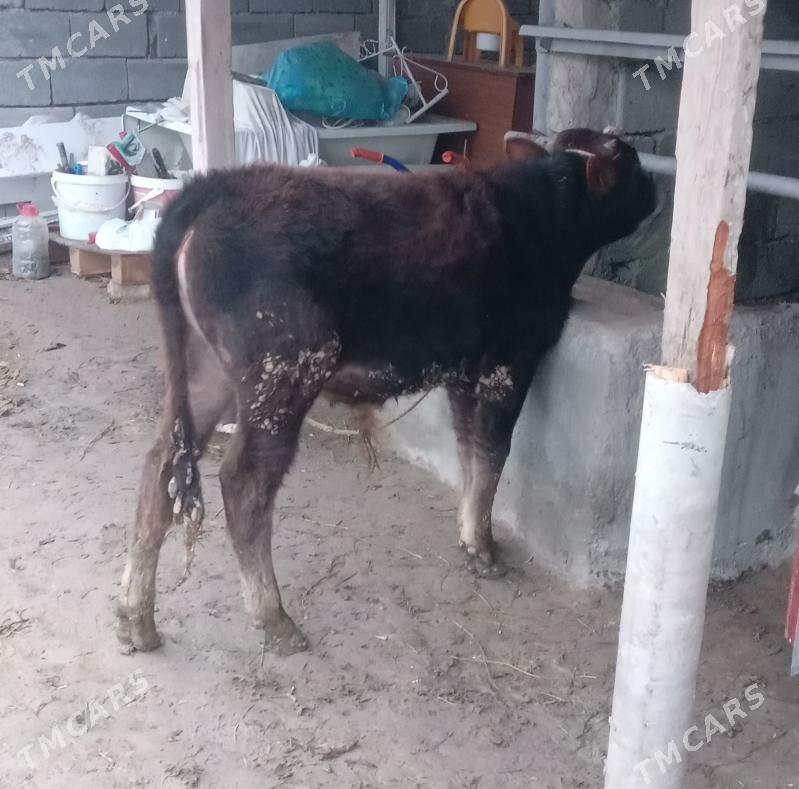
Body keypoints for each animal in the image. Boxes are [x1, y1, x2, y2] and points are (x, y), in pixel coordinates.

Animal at [116, 128, 656, 655]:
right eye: (629, 161)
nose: (656, 188)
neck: (541, 214)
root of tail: (212, 189)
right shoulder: (510, 361)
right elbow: (493, 454)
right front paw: (484, 549)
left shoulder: (464, 371)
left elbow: (469, 452)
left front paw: (470, 536)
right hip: (284, 370)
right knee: (242, 483)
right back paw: (275, 620)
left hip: (206, 373)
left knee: (160, 465)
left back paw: (135, 620)